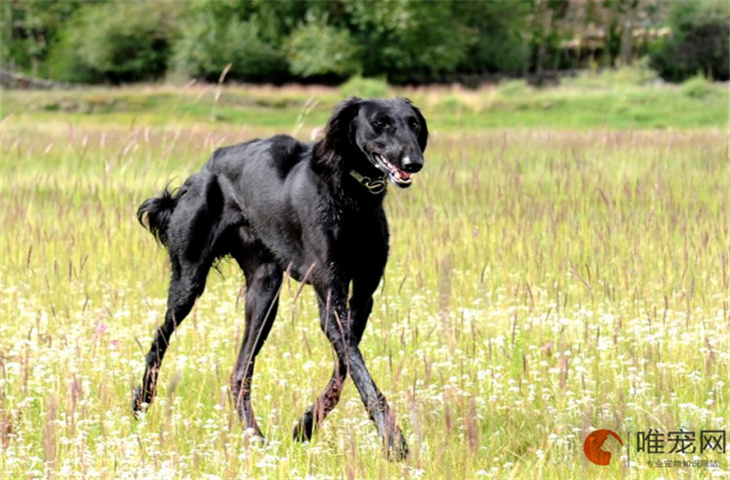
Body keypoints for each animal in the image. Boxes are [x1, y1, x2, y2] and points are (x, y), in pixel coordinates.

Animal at [134, 95, 424, 460]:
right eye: (380, 124)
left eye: (413, 123)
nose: (414, 162)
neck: (351, 194)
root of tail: (204, 169)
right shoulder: (331, 298)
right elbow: (359, 373)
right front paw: (394, 441)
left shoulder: (362, 297)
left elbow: (345, 369)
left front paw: (305, 425)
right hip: (189, 281)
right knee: (159, 341)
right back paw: (140, 402)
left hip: (264, 291)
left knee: (239, 373)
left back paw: (256, 439)